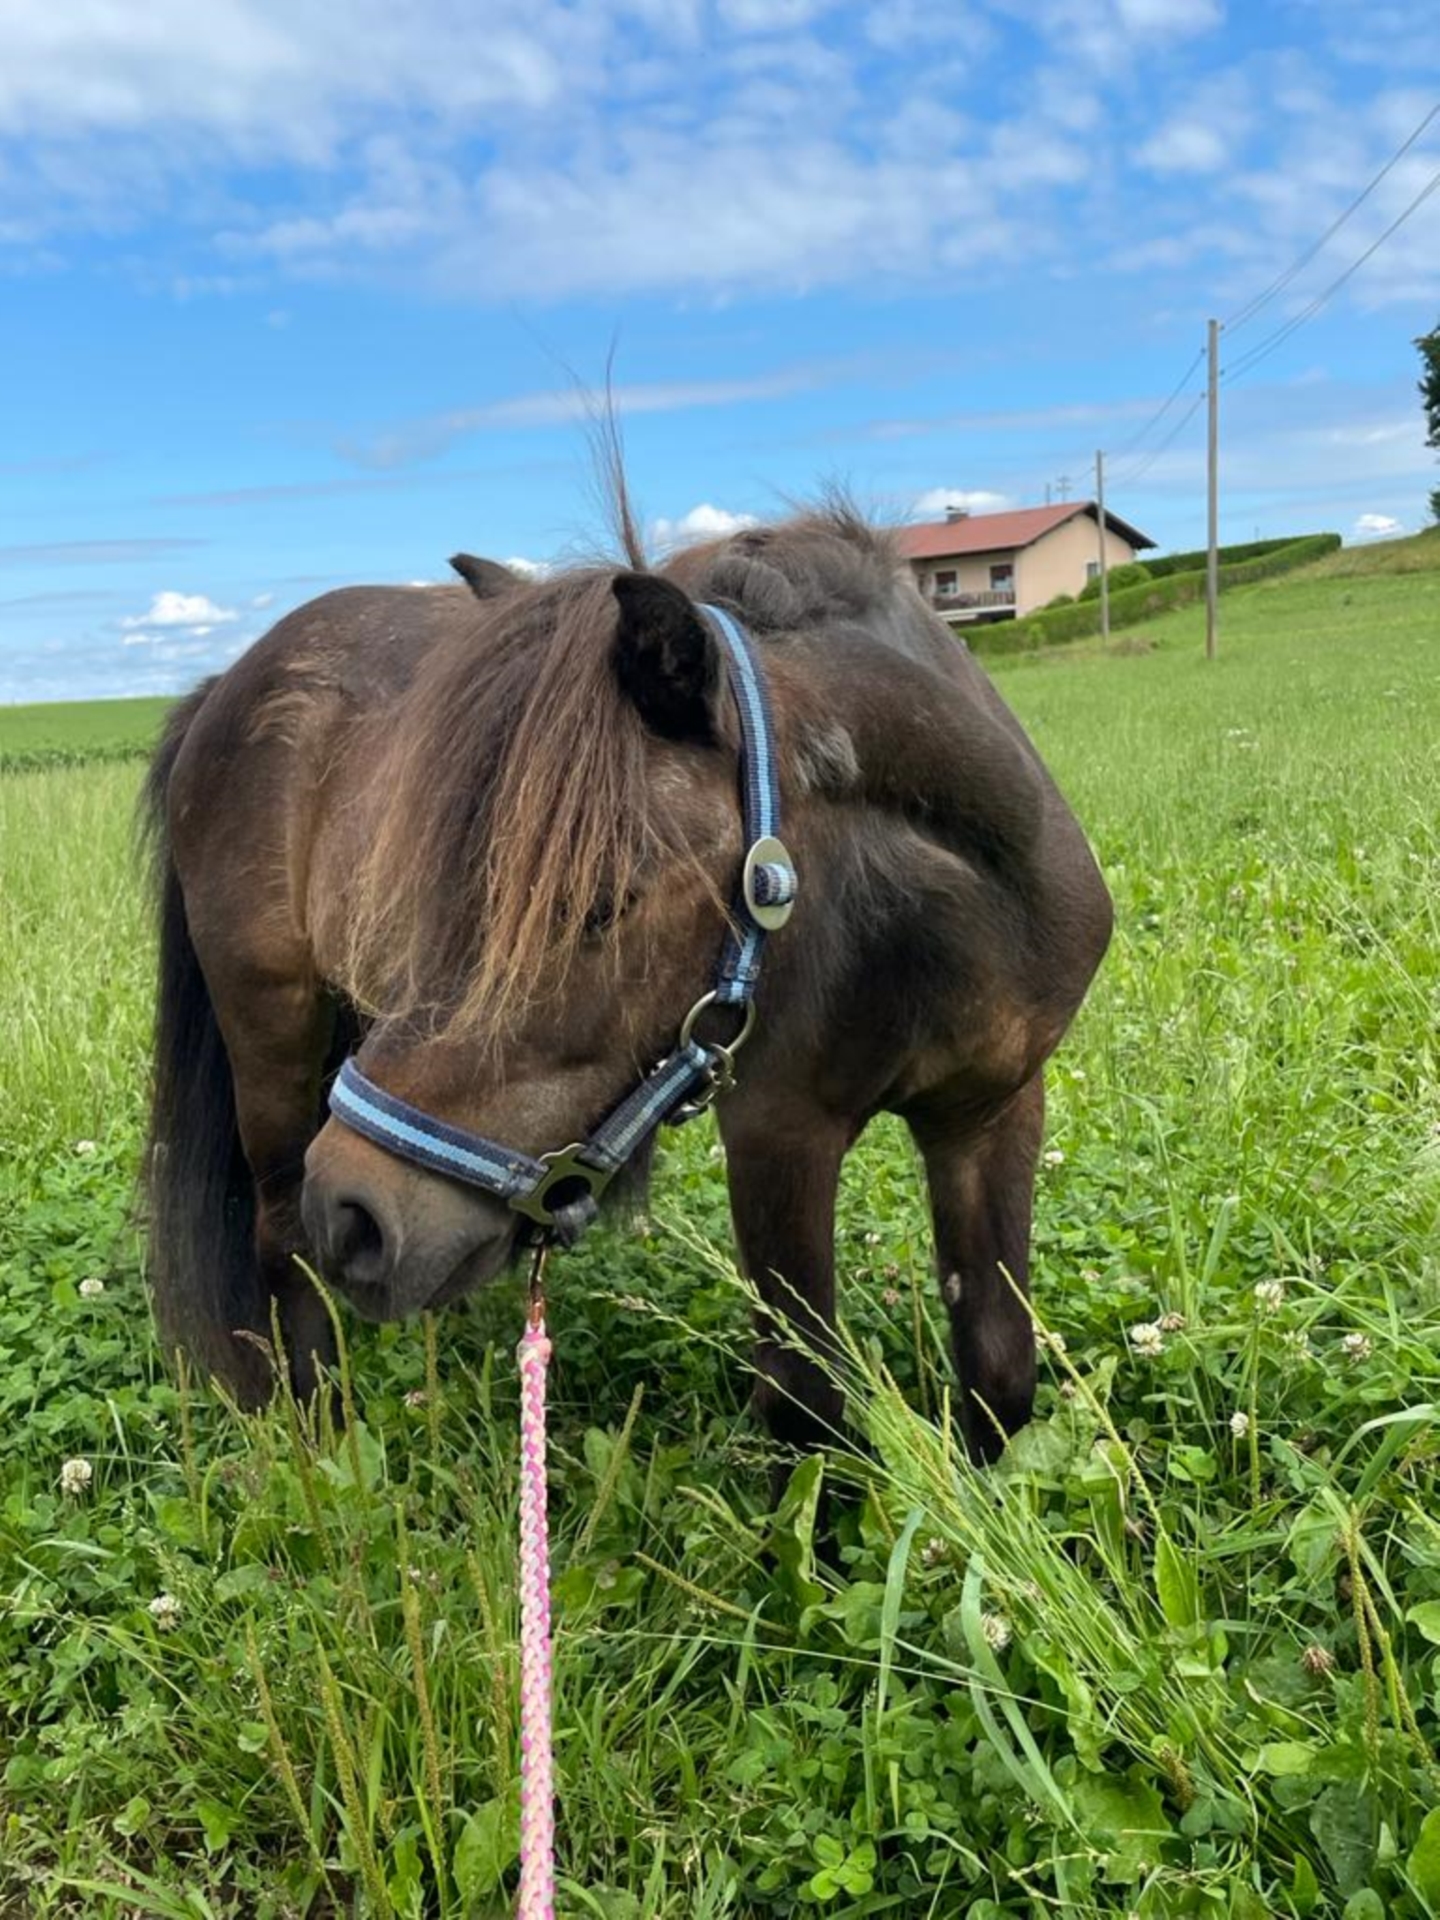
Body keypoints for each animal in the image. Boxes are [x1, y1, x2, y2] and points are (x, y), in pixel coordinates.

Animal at [146, 503, 1113, 1459]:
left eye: (602, 902)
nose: (355, 1213)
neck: (948, 913)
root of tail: (225, 685)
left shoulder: (992, 1111)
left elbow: (999, 1367)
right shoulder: (778, 1132)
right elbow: (804, 1405)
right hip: (270, 1028)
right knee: (279, 1238)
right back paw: (321, 1438)